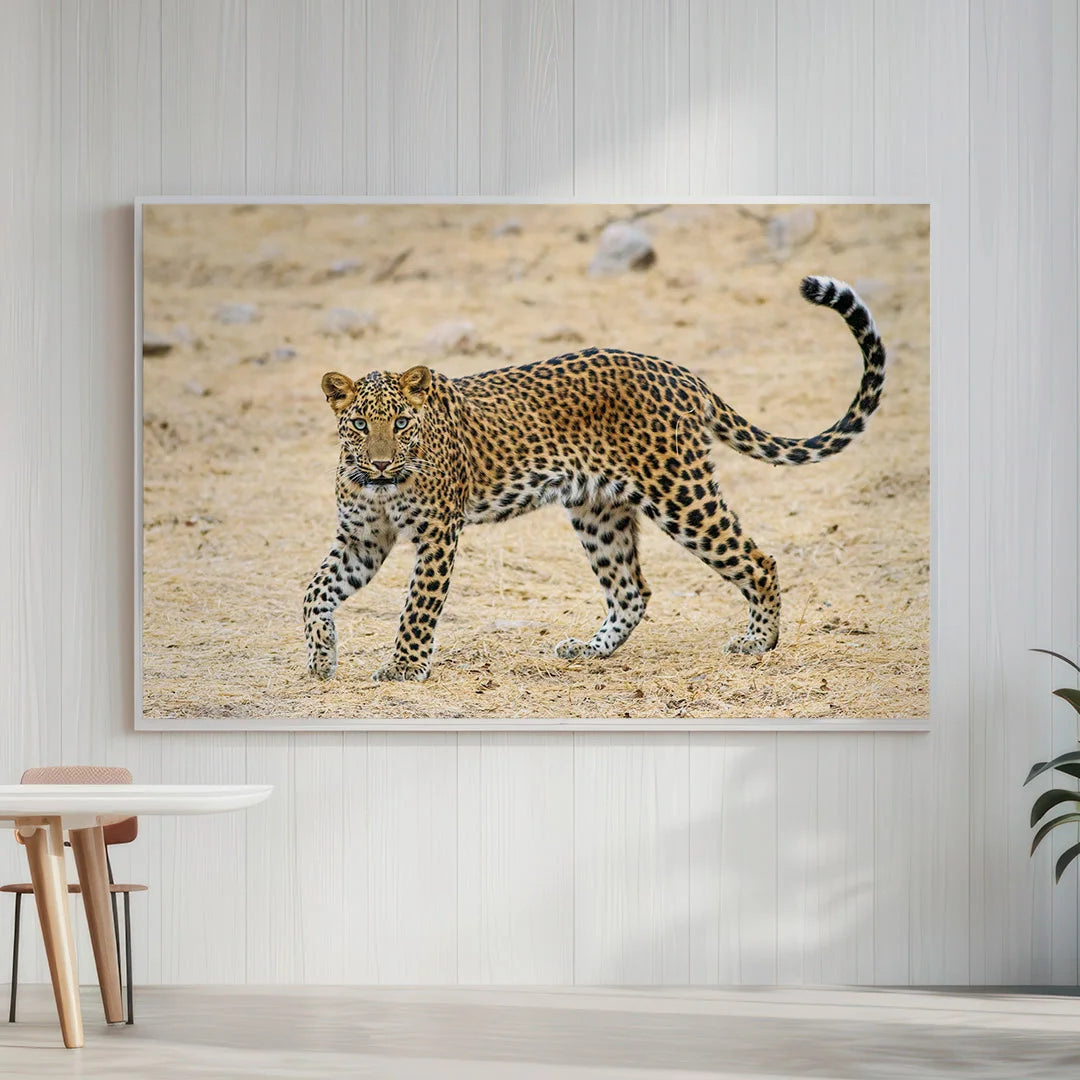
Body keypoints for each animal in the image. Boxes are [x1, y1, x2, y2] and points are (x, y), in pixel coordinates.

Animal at [303, 275, 886, 682]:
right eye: (360, 424)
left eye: (401, 423)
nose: (381, 464)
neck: (381, 486)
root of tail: (681, 372)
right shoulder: (362, 538)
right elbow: (315, 590)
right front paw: (319, 656)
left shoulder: (437, 535)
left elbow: (418, 606)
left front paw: (404, 667)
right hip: (597, 509)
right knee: (632, 589)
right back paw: (589, 649)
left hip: (680, 492)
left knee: (756, 559)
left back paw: (758, 642)